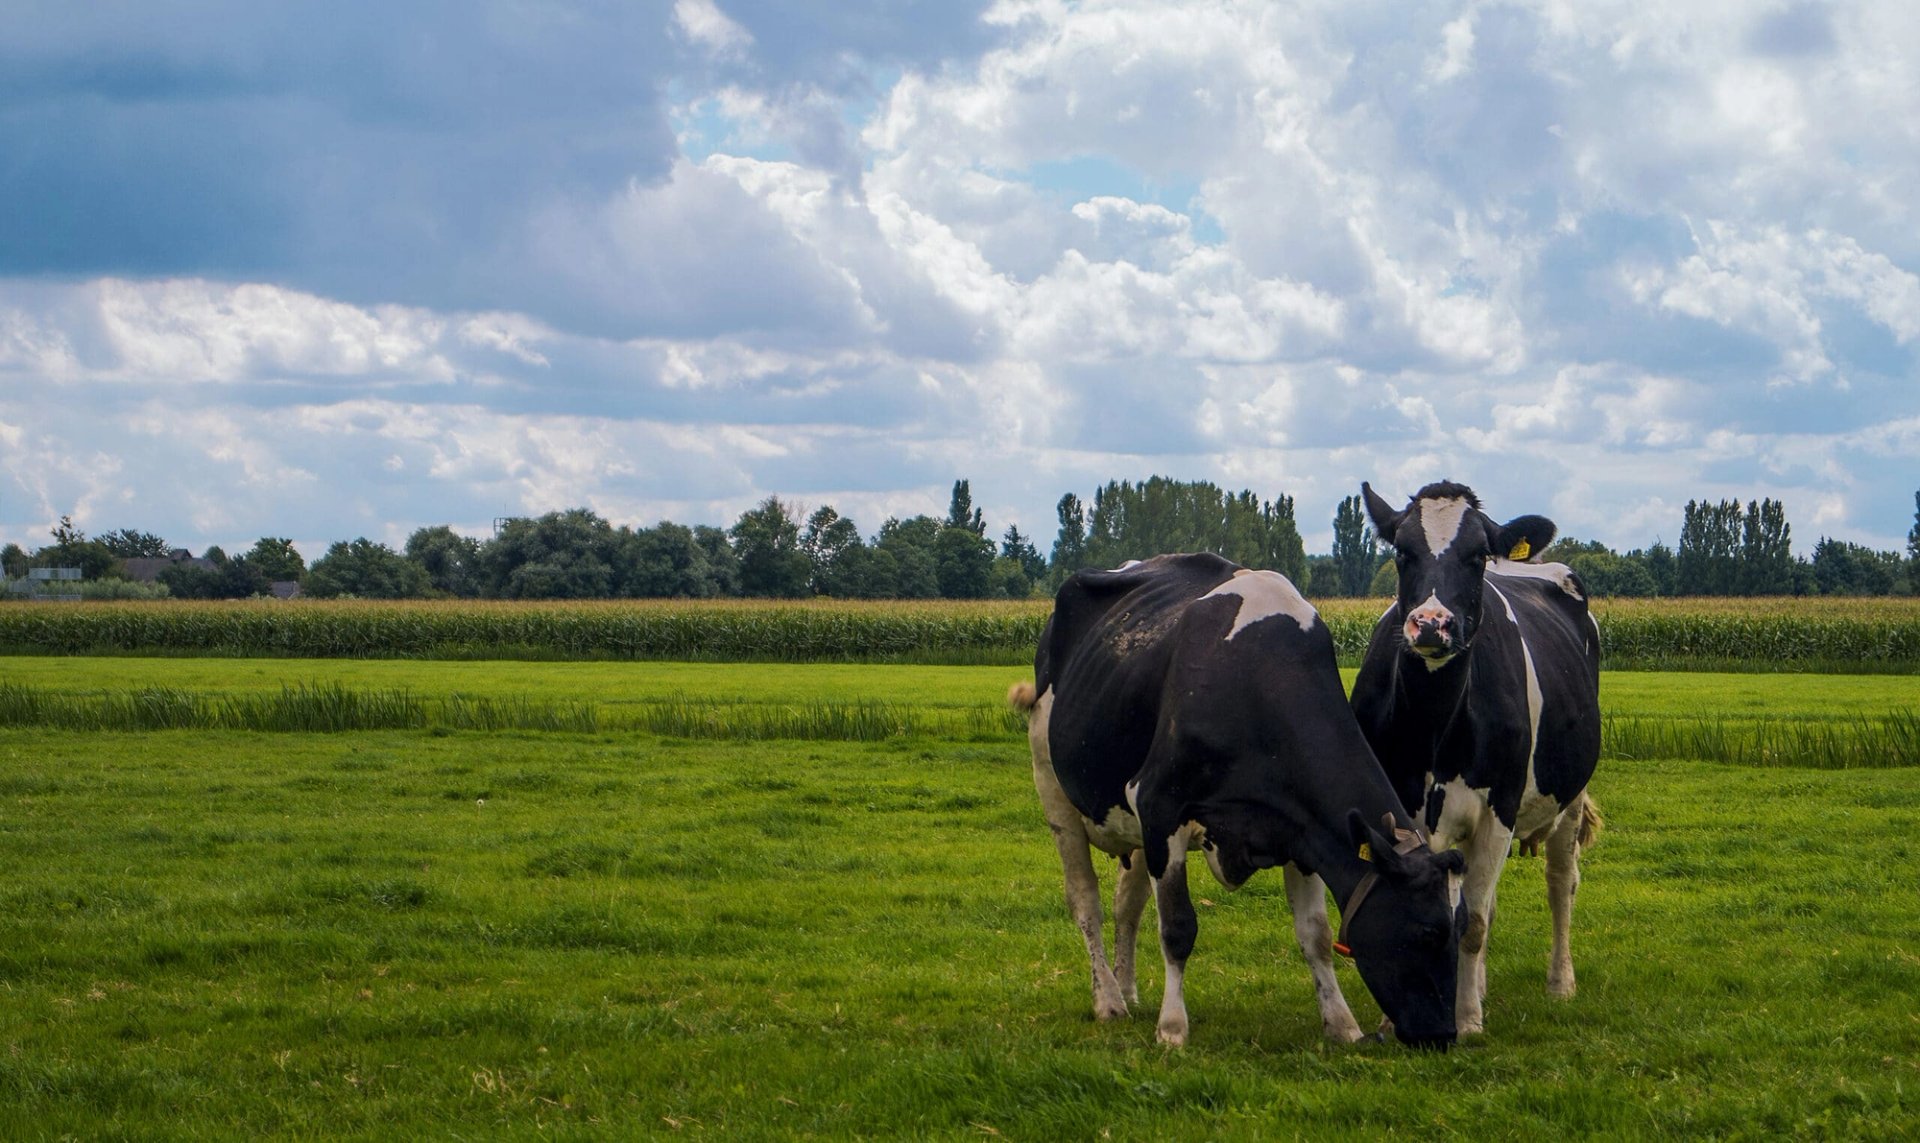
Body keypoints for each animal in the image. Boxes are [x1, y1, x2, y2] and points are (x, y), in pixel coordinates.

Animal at [1010, 553, 1466, 1049]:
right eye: (1429, 931)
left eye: (1457, 931)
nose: (1444, 1034)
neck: (1258, 679)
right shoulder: (1158, 804)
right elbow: (1177, 926)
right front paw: (1172, 1028)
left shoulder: (1302, 829)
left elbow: (1316, 933)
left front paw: (1341, 1023)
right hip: (1052, 787)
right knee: (1085, 901)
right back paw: (1108, 1001)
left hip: (1129, 825)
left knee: (1125, 907)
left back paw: (1128, 991)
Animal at [1352, 481, 1602, 1037]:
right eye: (1402, 552)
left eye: (1477, 557)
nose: (1431, 624)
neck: (1435, 724)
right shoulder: (1396, 802)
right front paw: (1394, 1020)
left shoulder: (1499, 808)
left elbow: (1474, 922)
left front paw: (1466, 1019)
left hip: (1570, 796)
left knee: (1560, 883)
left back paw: (1560, 982)